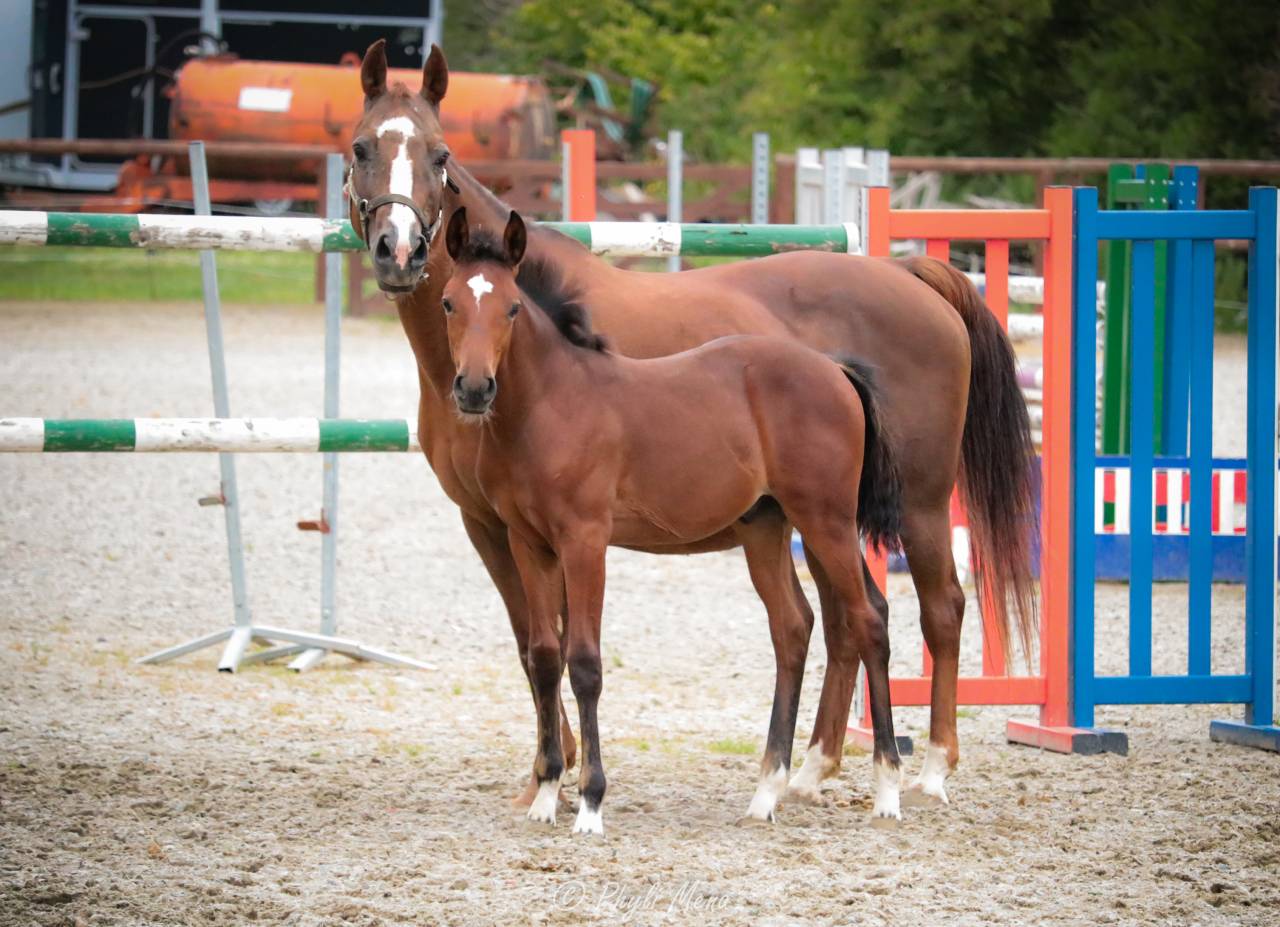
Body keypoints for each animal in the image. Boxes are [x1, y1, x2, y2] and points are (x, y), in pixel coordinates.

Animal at [440, 207, 907, 833]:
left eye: (511, 307)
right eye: (448, 303)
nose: (473, 389)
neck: (551, 407)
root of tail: (834, 368)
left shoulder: (585, 541)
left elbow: (583, 662)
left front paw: (590, 804)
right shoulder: (528, 543)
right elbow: (543, 658)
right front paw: (545, 797)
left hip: (826, 520)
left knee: (867, 620)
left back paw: (887, 789)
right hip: (767, 528)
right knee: (792, 627)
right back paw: (766, 792)